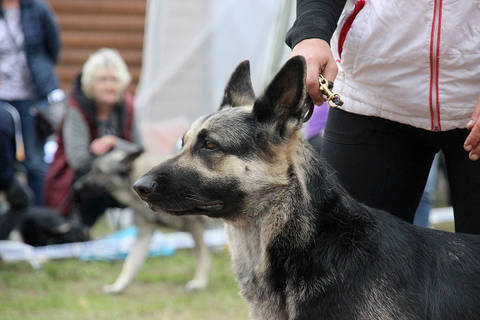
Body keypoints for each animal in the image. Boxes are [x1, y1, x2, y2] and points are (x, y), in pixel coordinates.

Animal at [76, 146, 210, 294]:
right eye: (93, 169)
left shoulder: (196, 228)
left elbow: (201, 256)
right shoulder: (144, 233)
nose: (77, 186)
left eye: (99, 171)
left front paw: (199, 282)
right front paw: (119, 286)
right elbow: (130, 262)